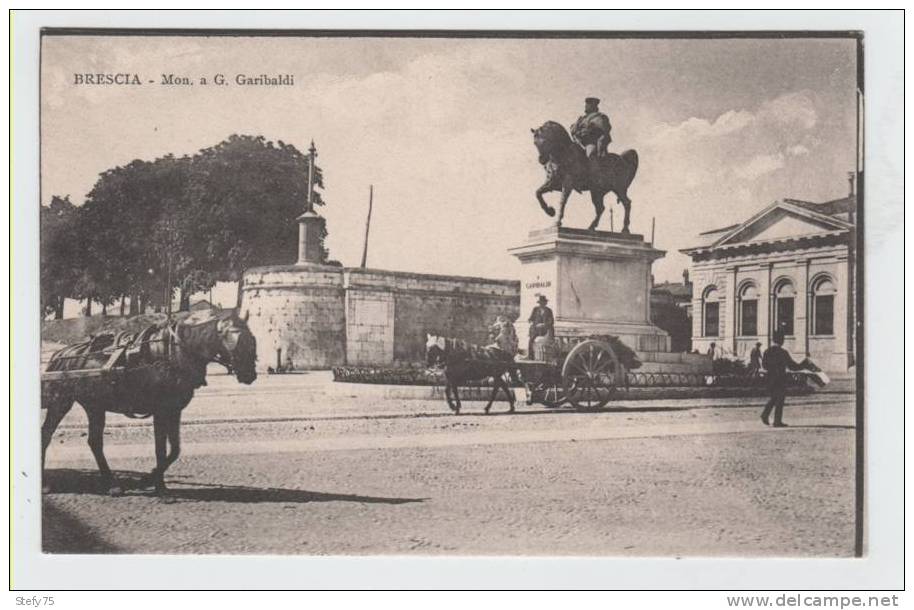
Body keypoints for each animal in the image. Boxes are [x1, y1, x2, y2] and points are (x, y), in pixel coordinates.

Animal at [41, 308, 256, 494]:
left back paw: (111, 483)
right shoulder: (160, 411)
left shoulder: (174, 410)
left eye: (253, 339)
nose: (250, 375)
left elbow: (175, 450)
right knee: (47, 434)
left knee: (93, 441)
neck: (172, 354)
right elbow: (160, 449)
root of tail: (61, 354)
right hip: (61, 402)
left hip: (94, 406)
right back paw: (46, 483)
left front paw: (151, 479)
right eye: (238, 339)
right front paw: (156, 484)